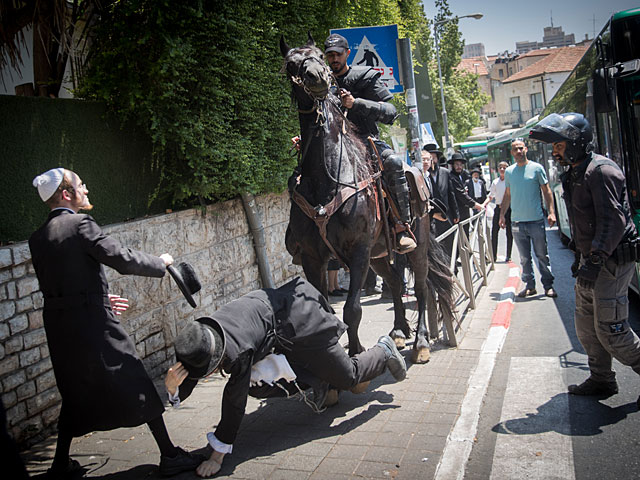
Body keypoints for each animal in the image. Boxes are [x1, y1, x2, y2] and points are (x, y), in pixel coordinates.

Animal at [280, 34, 456, 364]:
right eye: (291, 64)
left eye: (320, 55)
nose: (318, 77)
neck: (327, 176)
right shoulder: (313, 257)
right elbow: (326, 310)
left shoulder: (359, 251)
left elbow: (352, 309)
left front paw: (356, 352)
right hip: (379, 256)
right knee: (396, 282)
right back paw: (399, 331)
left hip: (415, 246)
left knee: (422, 287)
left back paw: (420, 343)